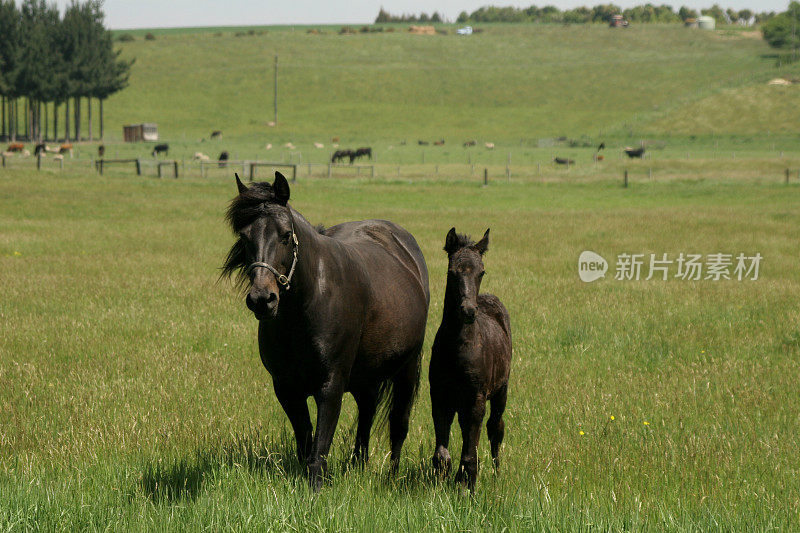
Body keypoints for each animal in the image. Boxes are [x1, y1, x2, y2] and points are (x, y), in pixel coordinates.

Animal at [219, 172, 432, 488]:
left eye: (285, 234)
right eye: (244, 237)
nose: (262, 299)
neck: (304, 309)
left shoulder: (330, 386)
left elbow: (319, 447)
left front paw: (315, 490)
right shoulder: (286, 388)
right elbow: (305, 442)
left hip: (406, 368)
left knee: (398, 424)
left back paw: (392, 477)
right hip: (366, 376)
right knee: (367, 411)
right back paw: (358, 464)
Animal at [432, 228, 512, 490]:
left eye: (482, 271)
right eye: (451, 272)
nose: (468, 311)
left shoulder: (477, 398)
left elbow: (470, 452)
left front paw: (468, 487)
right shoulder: (440, 397)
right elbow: (442, 454)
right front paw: (441, 485)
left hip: (500, 391)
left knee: (495, 428)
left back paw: (496, 474)